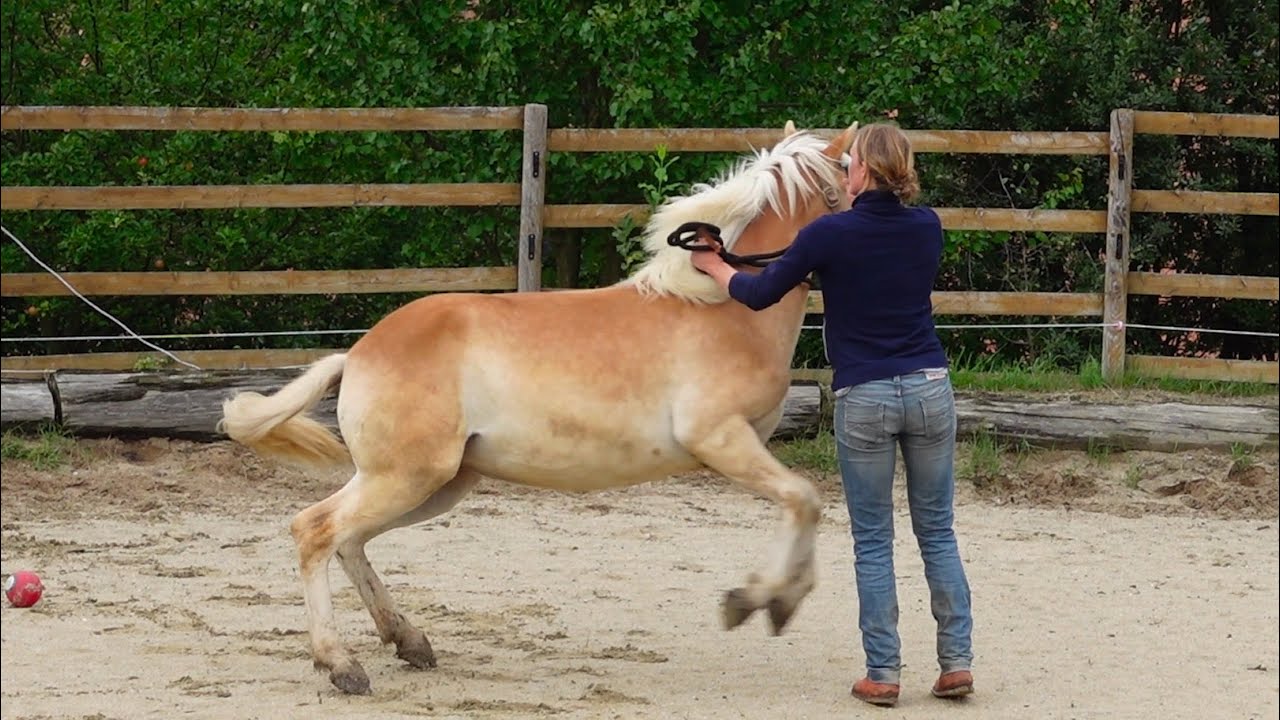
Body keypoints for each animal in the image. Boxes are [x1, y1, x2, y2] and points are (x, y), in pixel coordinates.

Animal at [220, 120, 860, 691]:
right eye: (854, 184)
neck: (722, 306)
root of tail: (358, 353)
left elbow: (802, 505)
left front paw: (776, 602)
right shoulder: (721, 439)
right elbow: (804, 500)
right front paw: (755, 602)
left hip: (431, 483)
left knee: (348, 542)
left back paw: (408, 641)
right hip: (405, 477)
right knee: (315, 532)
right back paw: (341, 665)